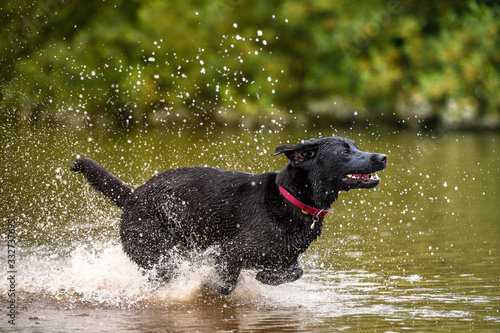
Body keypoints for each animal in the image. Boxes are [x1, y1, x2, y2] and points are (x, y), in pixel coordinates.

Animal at [71, 136, 386, 294]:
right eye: (345, 151)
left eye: (356, 146)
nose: (382, 157)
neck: (291, 199)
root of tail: (133, 196)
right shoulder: (230, 251)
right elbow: (224, 283)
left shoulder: (286, 256)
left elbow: (295, 270)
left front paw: (266, 277)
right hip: (160, 253)